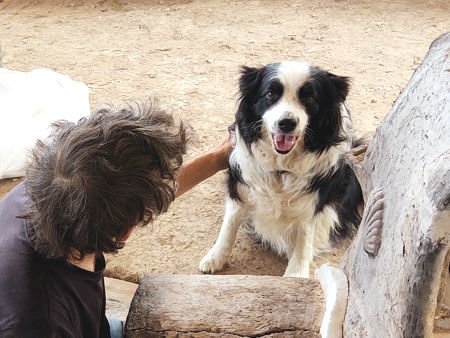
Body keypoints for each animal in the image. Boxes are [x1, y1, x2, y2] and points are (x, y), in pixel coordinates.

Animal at [199, 60, 364, 278]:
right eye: (271, 94)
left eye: (310, 96)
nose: (286, 123)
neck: (281, 168)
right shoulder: (241, 181)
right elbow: (229, 223)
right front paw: (215, 257)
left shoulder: (316, 196)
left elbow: (305, 233)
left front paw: (296, 275)